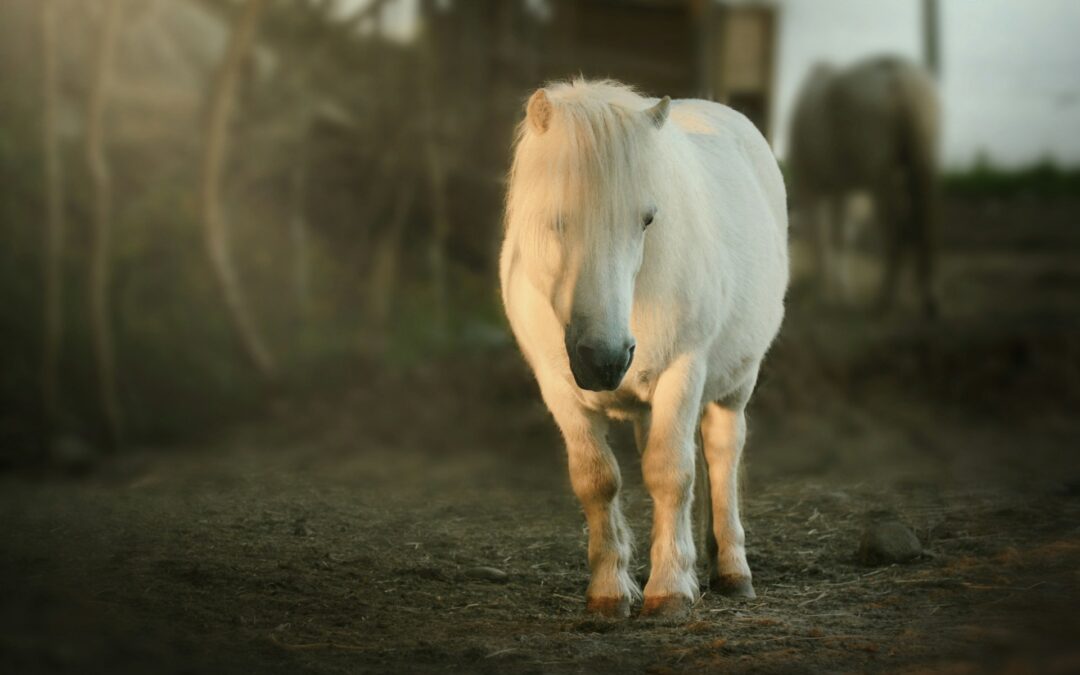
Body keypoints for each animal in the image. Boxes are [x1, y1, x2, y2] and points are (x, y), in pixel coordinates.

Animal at [499, 79, 788, 618]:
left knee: (722, 452)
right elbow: (597, 479)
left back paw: (731, 569)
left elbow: (670, 473)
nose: (605, 358)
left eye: (647, 220)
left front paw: (670, 589)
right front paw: (610, 590)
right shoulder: (557, 385)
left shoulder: (683, 370)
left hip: (736, 382)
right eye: (556, 219)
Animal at [788, 56, 940, 316]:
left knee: (896, 231)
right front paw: (837, 292)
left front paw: (827, 292)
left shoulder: (816, 187)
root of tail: (901, 76)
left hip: (880, 178)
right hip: (921, 164)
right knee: (922, 226)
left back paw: (886, 299)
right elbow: (837, 236)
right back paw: (925, 301)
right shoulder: (840, 190)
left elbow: (825, 236)